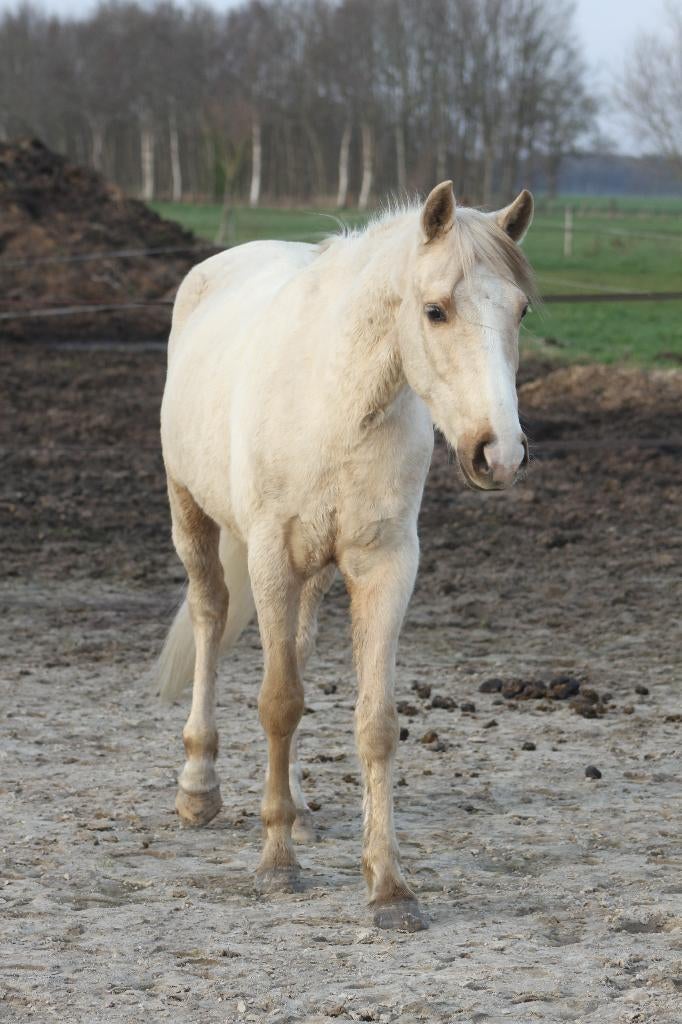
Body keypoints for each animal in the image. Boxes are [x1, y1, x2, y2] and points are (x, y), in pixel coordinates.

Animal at [155, 181, 536, 932]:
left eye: (521, 310)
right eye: (435, 310)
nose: (499, 453)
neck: (336, 399)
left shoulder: (386, 566)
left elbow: (374, 722)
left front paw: (389, 886)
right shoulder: (271, 555)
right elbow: (277, 703)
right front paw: (277, 865)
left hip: (312, 574)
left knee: (295, 652)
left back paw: (298, 810)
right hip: (194, 515)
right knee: (211, 617)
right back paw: (199, 788)